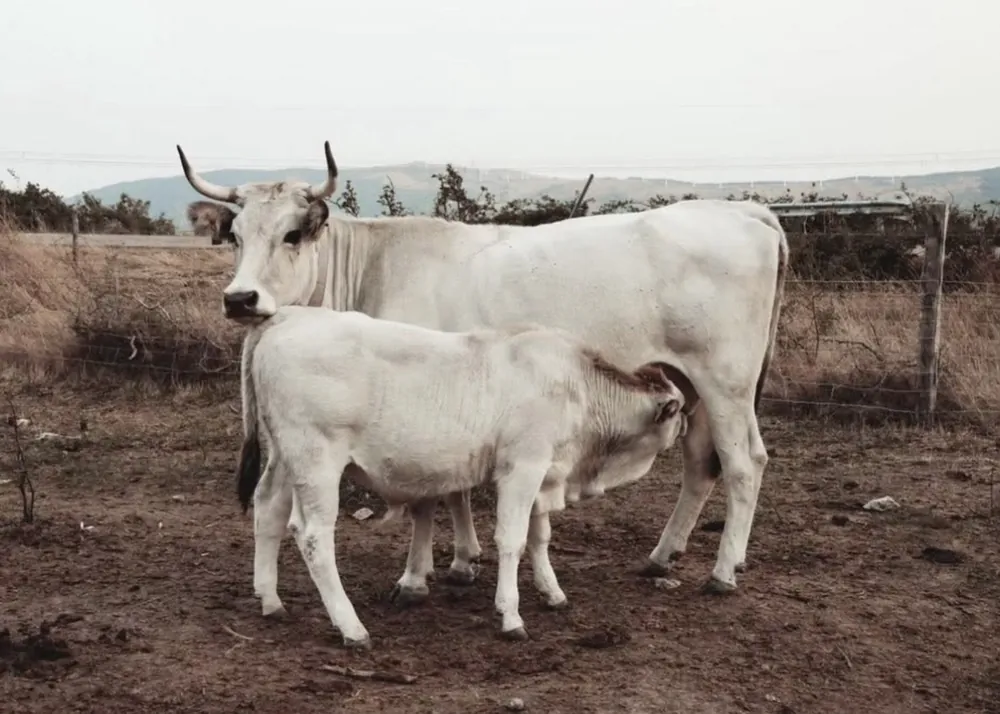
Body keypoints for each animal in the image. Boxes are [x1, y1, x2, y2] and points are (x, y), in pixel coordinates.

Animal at [176, 140, 789, 600]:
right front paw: (464, 558)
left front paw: (418, 574)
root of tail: (741, 210)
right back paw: (662, 556)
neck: (374, 268)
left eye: (292, 234)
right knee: (701, 464)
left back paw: (722, 571)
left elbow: (429, 495)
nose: (240, 299)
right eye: (234, 237)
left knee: (743, 464)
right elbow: (453, 489)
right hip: (689, 383)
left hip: (726, 383)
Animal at [237, 305, 694, 647]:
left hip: (284, 459)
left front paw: (552, 592)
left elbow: (539, 536)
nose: (689, 425)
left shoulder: (543, 472)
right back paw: (351, 628)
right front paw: (510, 615)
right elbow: (511, 540)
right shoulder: (521, 468)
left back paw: (270, 600)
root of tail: (288, 315)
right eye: (679, 410)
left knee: (268, 510)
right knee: (313, 536)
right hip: (317, 463)